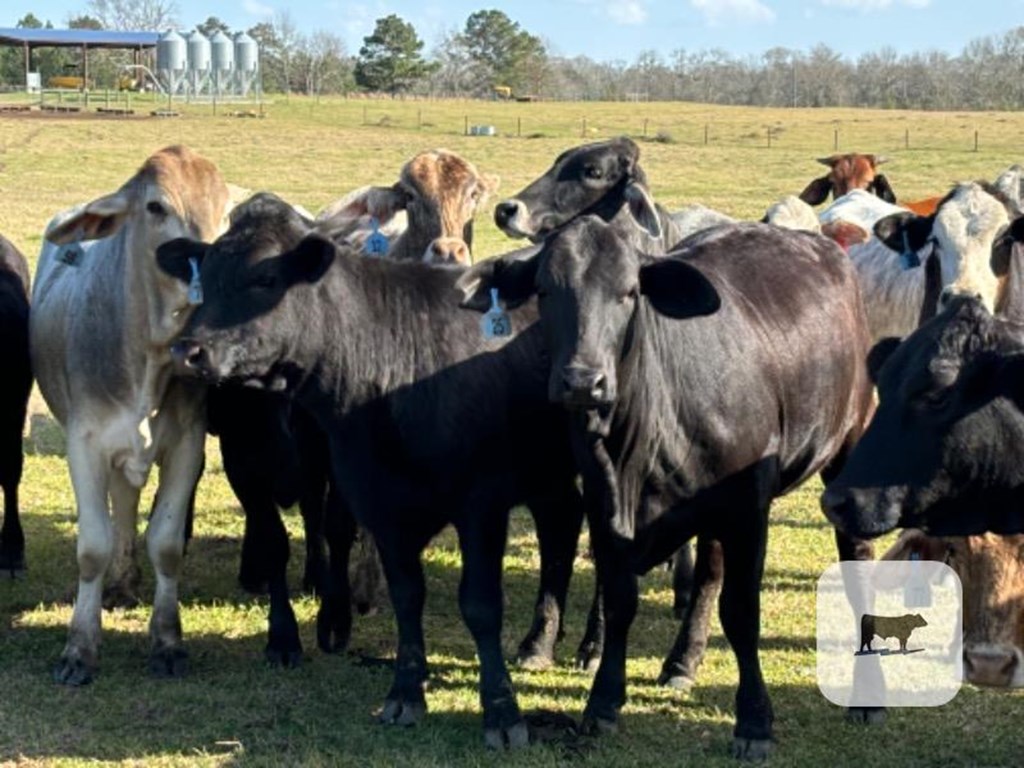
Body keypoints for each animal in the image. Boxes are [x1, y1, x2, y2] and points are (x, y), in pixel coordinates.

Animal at [30, 144, 230, 684]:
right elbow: (93, 545)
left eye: (227, 210)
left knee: (127, 500)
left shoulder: (186, 444)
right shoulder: (84, 444)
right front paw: (79, 647)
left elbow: (166, 542)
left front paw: (167, 641)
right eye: (156, 207)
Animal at [153, 193, 585, 753]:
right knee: (563, 527)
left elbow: (481, 605)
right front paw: (405, 693)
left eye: (265, 277)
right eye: (203, 277)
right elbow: (406, 596)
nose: (189, 350)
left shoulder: (481, 504)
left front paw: (501, 712)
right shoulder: (378, 501)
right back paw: (539, 641)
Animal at [460, 219, 876, 761]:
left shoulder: (748, 507)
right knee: (707, 577)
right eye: (546, 291)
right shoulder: (606, 506)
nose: (582, 381)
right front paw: (603, 701)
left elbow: (742, 612)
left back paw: (867, 697)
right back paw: (683, 660)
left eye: (628, 293)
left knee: (857, 556)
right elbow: (621, 601)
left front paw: (754, 721)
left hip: (849, 446)